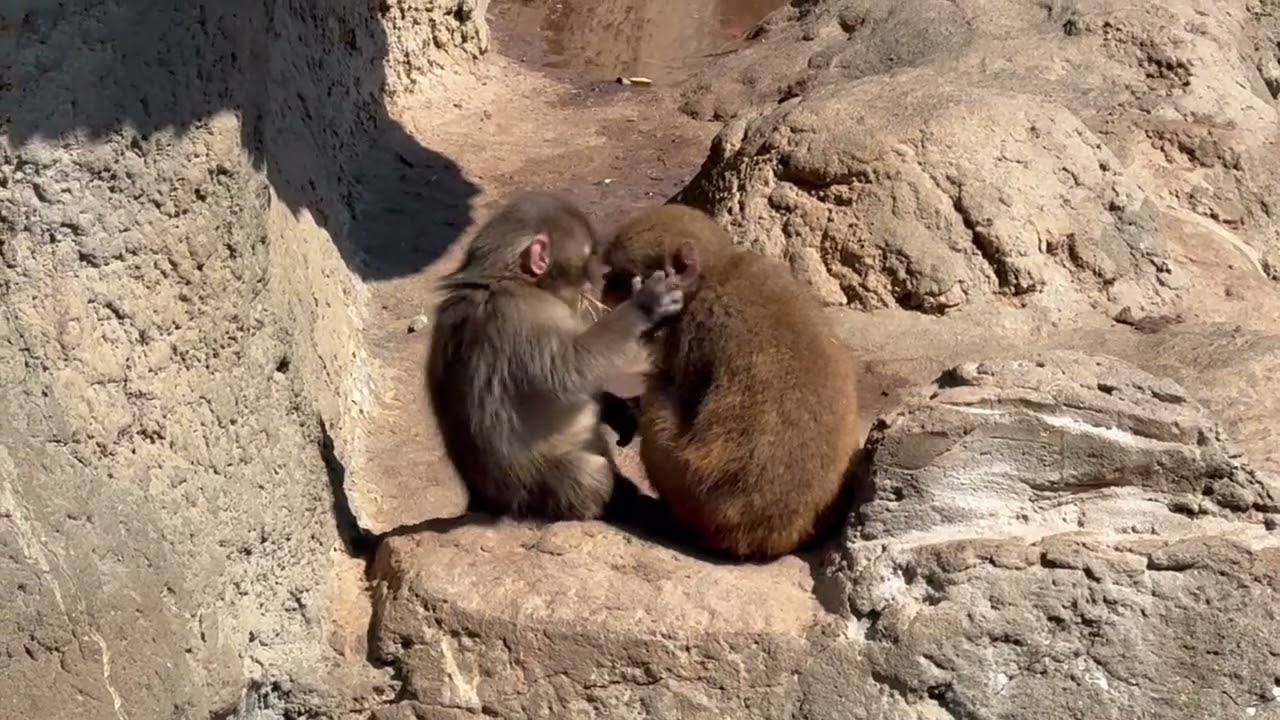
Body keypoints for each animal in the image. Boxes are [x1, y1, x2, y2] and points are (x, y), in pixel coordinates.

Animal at [425, 190, 686, 522]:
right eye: (587, 259)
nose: (595, 280)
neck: (508, 279)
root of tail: (485, 501)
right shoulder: (523, 314)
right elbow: (568, 369)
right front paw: (645, 305)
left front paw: (616, 409)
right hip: (538, 490)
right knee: (590, 473)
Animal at [597, 203, 863, 561]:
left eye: (620, 275)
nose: (604, 283)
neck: (714, 272)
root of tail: (772, 542)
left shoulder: (694, 328)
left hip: (693, 500)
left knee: (659, 396)